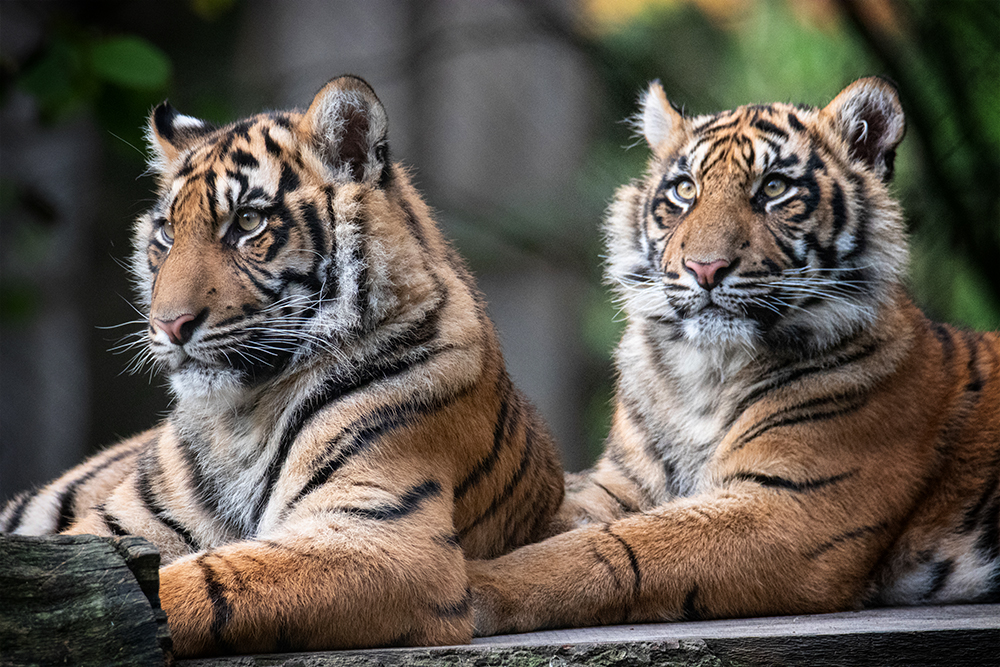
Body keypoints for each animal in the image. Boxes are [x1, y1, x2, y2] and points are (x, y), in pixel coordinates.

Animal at [0, 74, 564, 656]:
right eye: (166, 234)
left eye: (248, 221)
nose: (170, 326)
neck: (239, 417)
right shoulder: (121, 523)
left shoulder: (385, 535)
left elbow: (199, 581)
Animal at [468, 75, 1000, 636]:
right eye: (684, 190)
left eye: (774, 188)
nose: (705, 268)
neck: (706, 373)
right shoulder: (617, 486)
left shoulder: (792, 507)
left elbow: (614, 548)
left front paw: (475, 588)